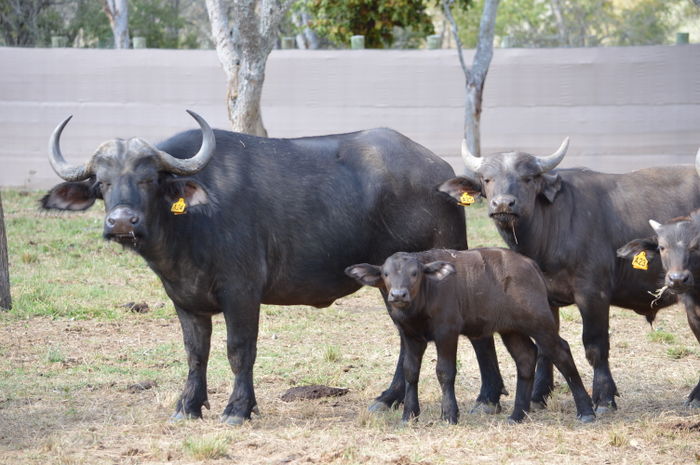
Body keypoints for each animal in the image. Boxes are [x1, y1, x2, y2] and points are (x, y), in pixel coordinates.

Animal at [40, 110, 511, 424]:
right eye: (102, 184)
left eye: (148, 178)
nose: (122, 222)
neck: (189, 223)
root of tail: (441, 172)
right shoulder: (185, 298)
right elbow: (195, 352)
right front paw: (188, 406)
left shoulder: (242, 292)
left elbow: (239, 350)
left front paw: (237, 409)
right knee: (406, 341)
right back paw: (389, 398)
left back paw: (487, 397)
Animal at [345, 249, 596, 424]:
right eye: (386, 274)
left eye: (414, 273)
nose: (398, 295)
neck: (422, 301)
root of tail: (530, 264)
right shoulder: (410, 336)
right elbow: (410, 371)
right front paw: (409, 415)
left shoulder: (447, 332)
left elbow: (445, 371)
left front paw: (449, 414)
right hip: (511, 329)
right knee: (525, 357)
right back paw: (517, 415)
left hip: (540, 322)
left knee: (561, 352)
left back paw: (586, 411)